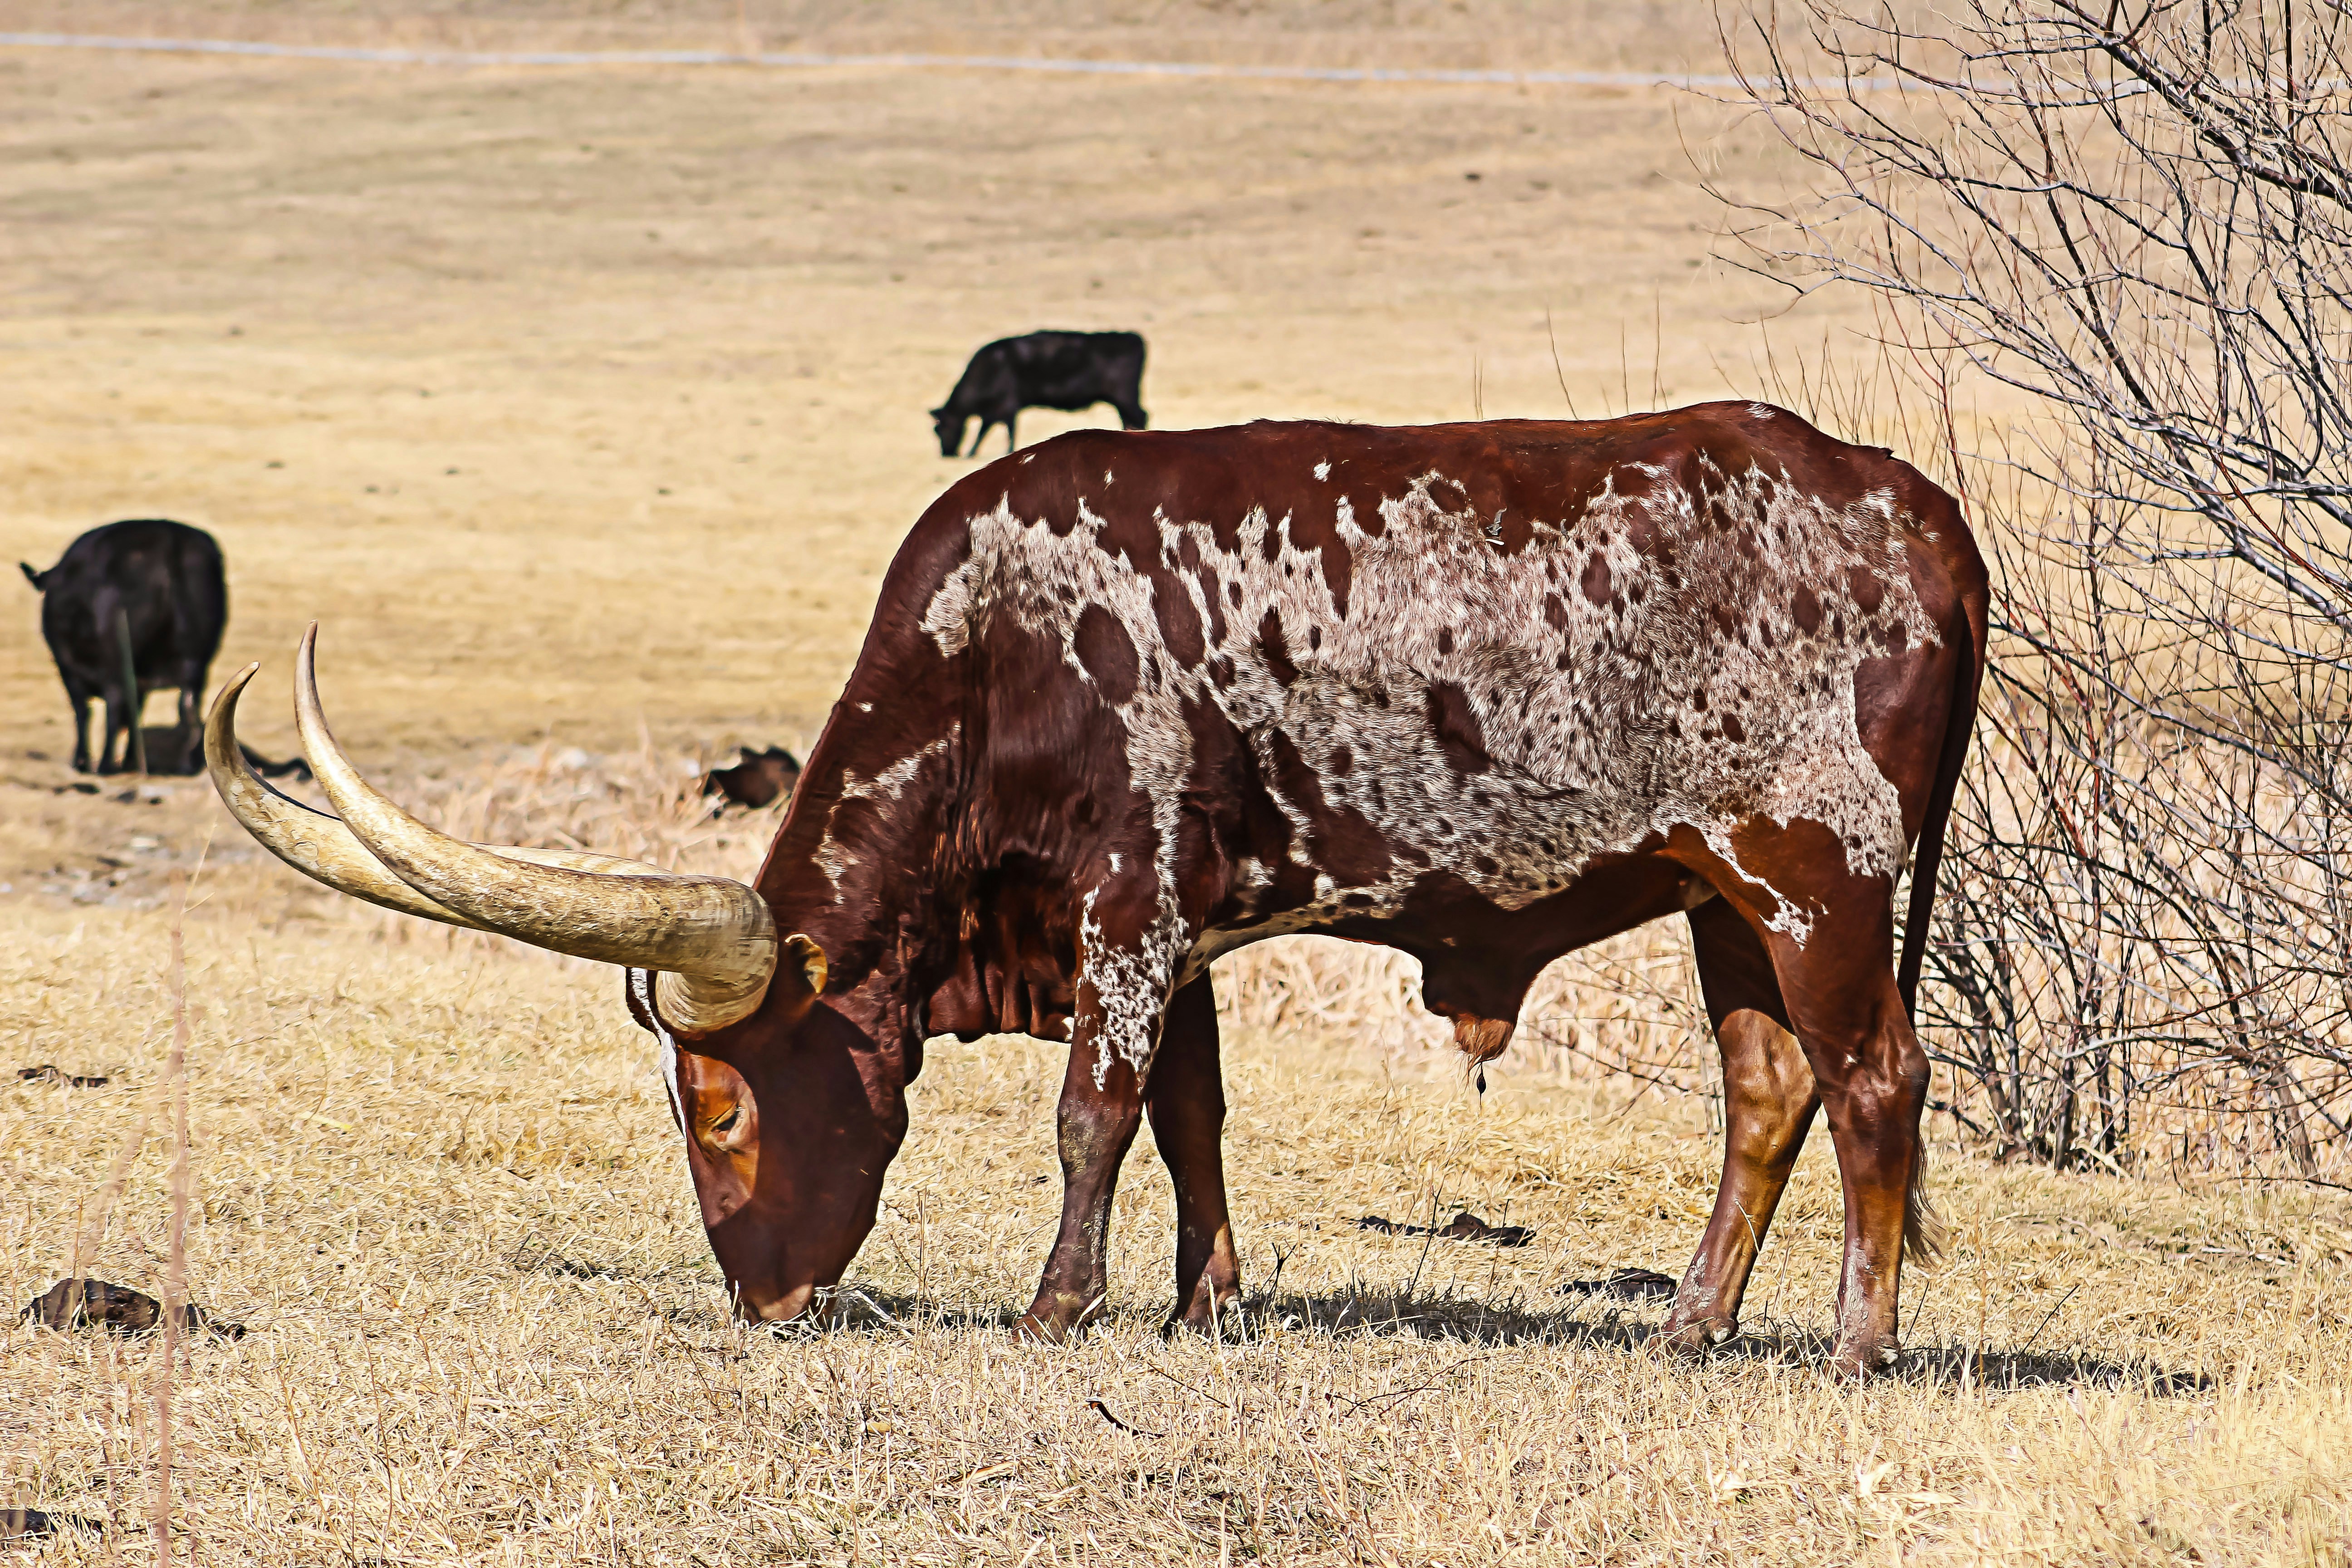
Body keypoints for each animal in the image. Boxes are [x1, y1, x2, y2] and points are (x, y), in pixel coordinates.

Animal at [22, 519, 227, 776]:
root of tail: (168, 538)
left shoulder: (67, 668)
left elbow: (83, 712)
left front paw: (81, 762)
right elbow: (134, 714)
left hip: (116, 660)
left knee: (115, 705)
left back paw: (105, 765)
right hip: (196, 660)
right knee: (187, 705)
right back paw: (184, 764)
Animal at [208, 403, 1986, 1376]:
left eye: (716, 1107)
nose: (763, 1302)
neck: (996, 647)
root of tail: (1908, 505)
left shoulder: (1129, 910)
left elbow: (1095, 1115)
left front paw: (1057, 1307)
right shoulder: (1175, 936)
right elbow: (1192, 1116)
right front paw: (1204, 1303)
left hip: (1816, 880)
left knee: (1873, 1082)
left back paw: (1856, 1340)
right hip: (1721, 898)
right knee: (1767, 1093)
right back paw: (1690, 1325)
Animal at [932, 331, 1148, 458]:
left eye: (941, 429)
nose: (946, 453)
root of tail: (1132, 337)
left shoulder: (1007, 405)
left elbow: (1003, 430)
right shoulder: (996, 409)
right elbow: (986, 430)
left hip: (1125, 396)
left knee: (1139, 416)